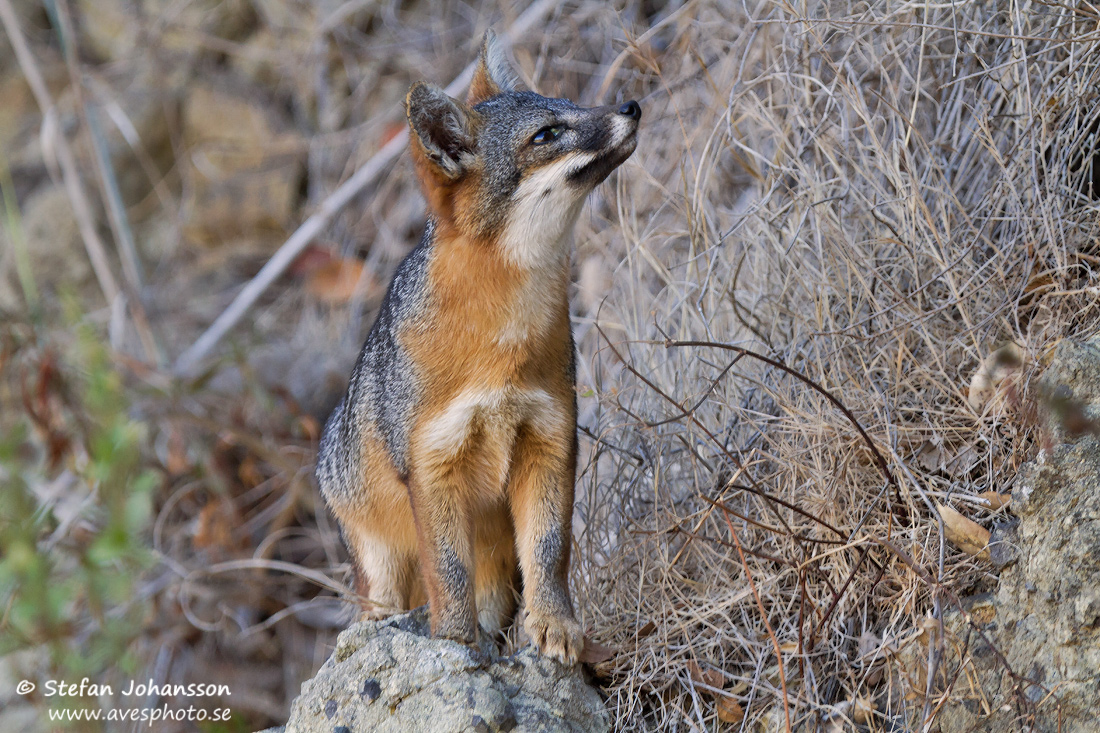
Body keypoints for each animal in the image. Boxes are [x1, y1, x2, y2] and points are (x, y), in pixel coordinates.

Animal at [314, 29, 642, 660]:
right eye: (546, 135)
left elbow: (549, 550)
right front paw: (455, 642)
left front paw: (555, 624)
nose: (632, 105)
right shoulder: (431, 465)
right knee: (383, 602)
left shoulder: (551, 440)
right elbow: (448, 571)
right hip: (376, 555)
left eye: (571, 104)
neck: (501, 348)